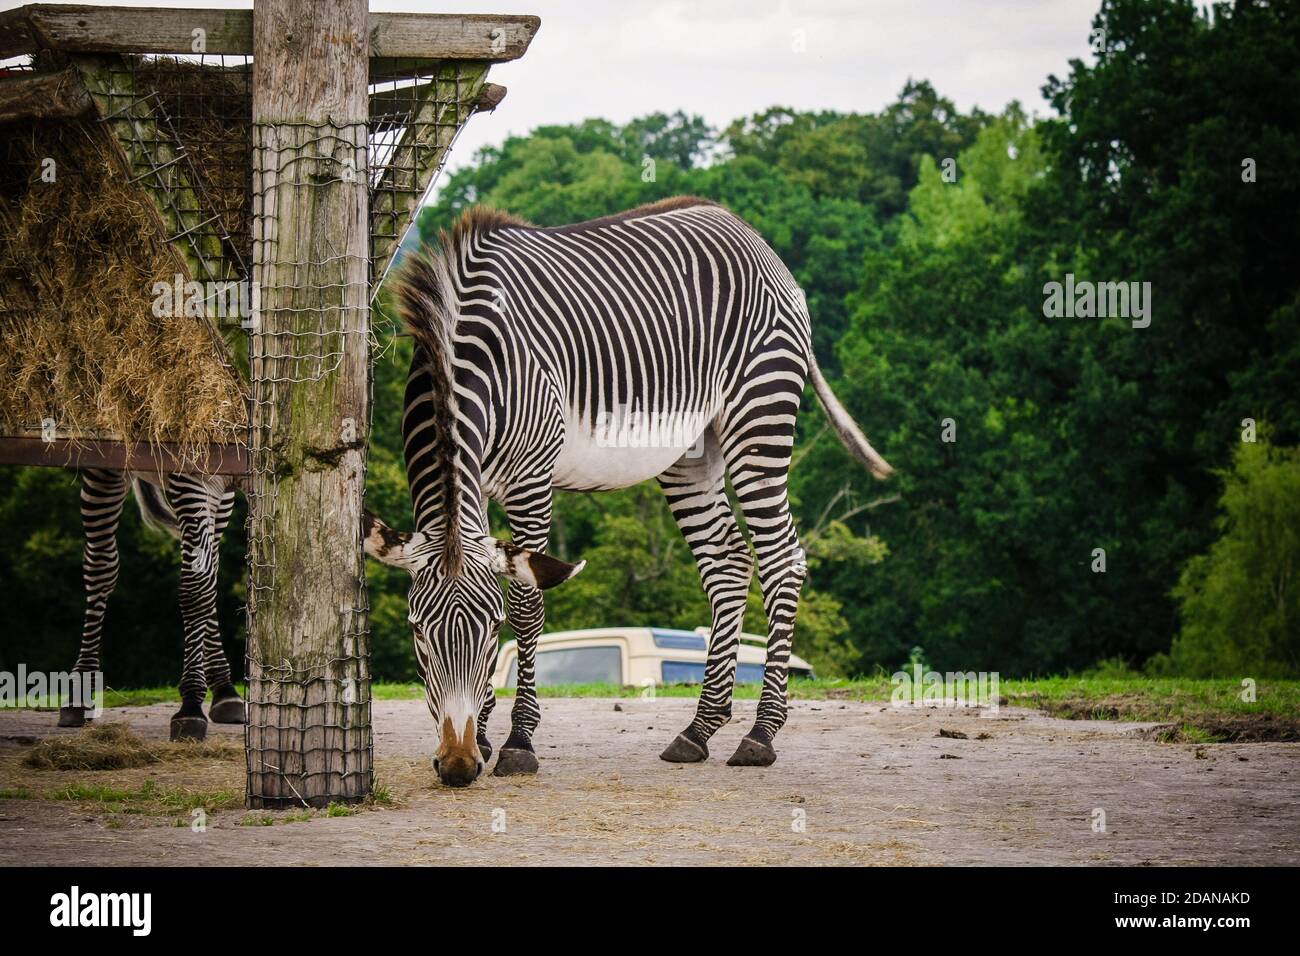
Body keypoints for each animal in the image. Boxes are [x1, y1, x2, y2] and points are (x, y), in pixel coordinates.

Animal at [59, 468, 245, 738]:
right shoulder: (194, 478)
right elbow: (197, 588)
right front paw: (190, 706)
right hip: (104, 473)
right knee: (100, 567)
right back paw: (79, 693)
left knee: (212, 563)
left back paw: (225, 690)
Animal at [366, 197, 894, 790]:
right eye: (416, 633)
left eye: (491, 632)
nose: (456, 767)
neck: (468, 357)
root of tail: (747, 231)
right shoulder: (474, 487)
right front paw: (480, 736)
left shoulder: (532, 476)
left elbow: (528, 601)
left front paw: (518, 742)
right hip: (691, 452)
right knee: (729, 561)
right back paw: (699, 730)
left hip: (760, 414)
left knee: (782, 557)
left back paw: (760, 734)